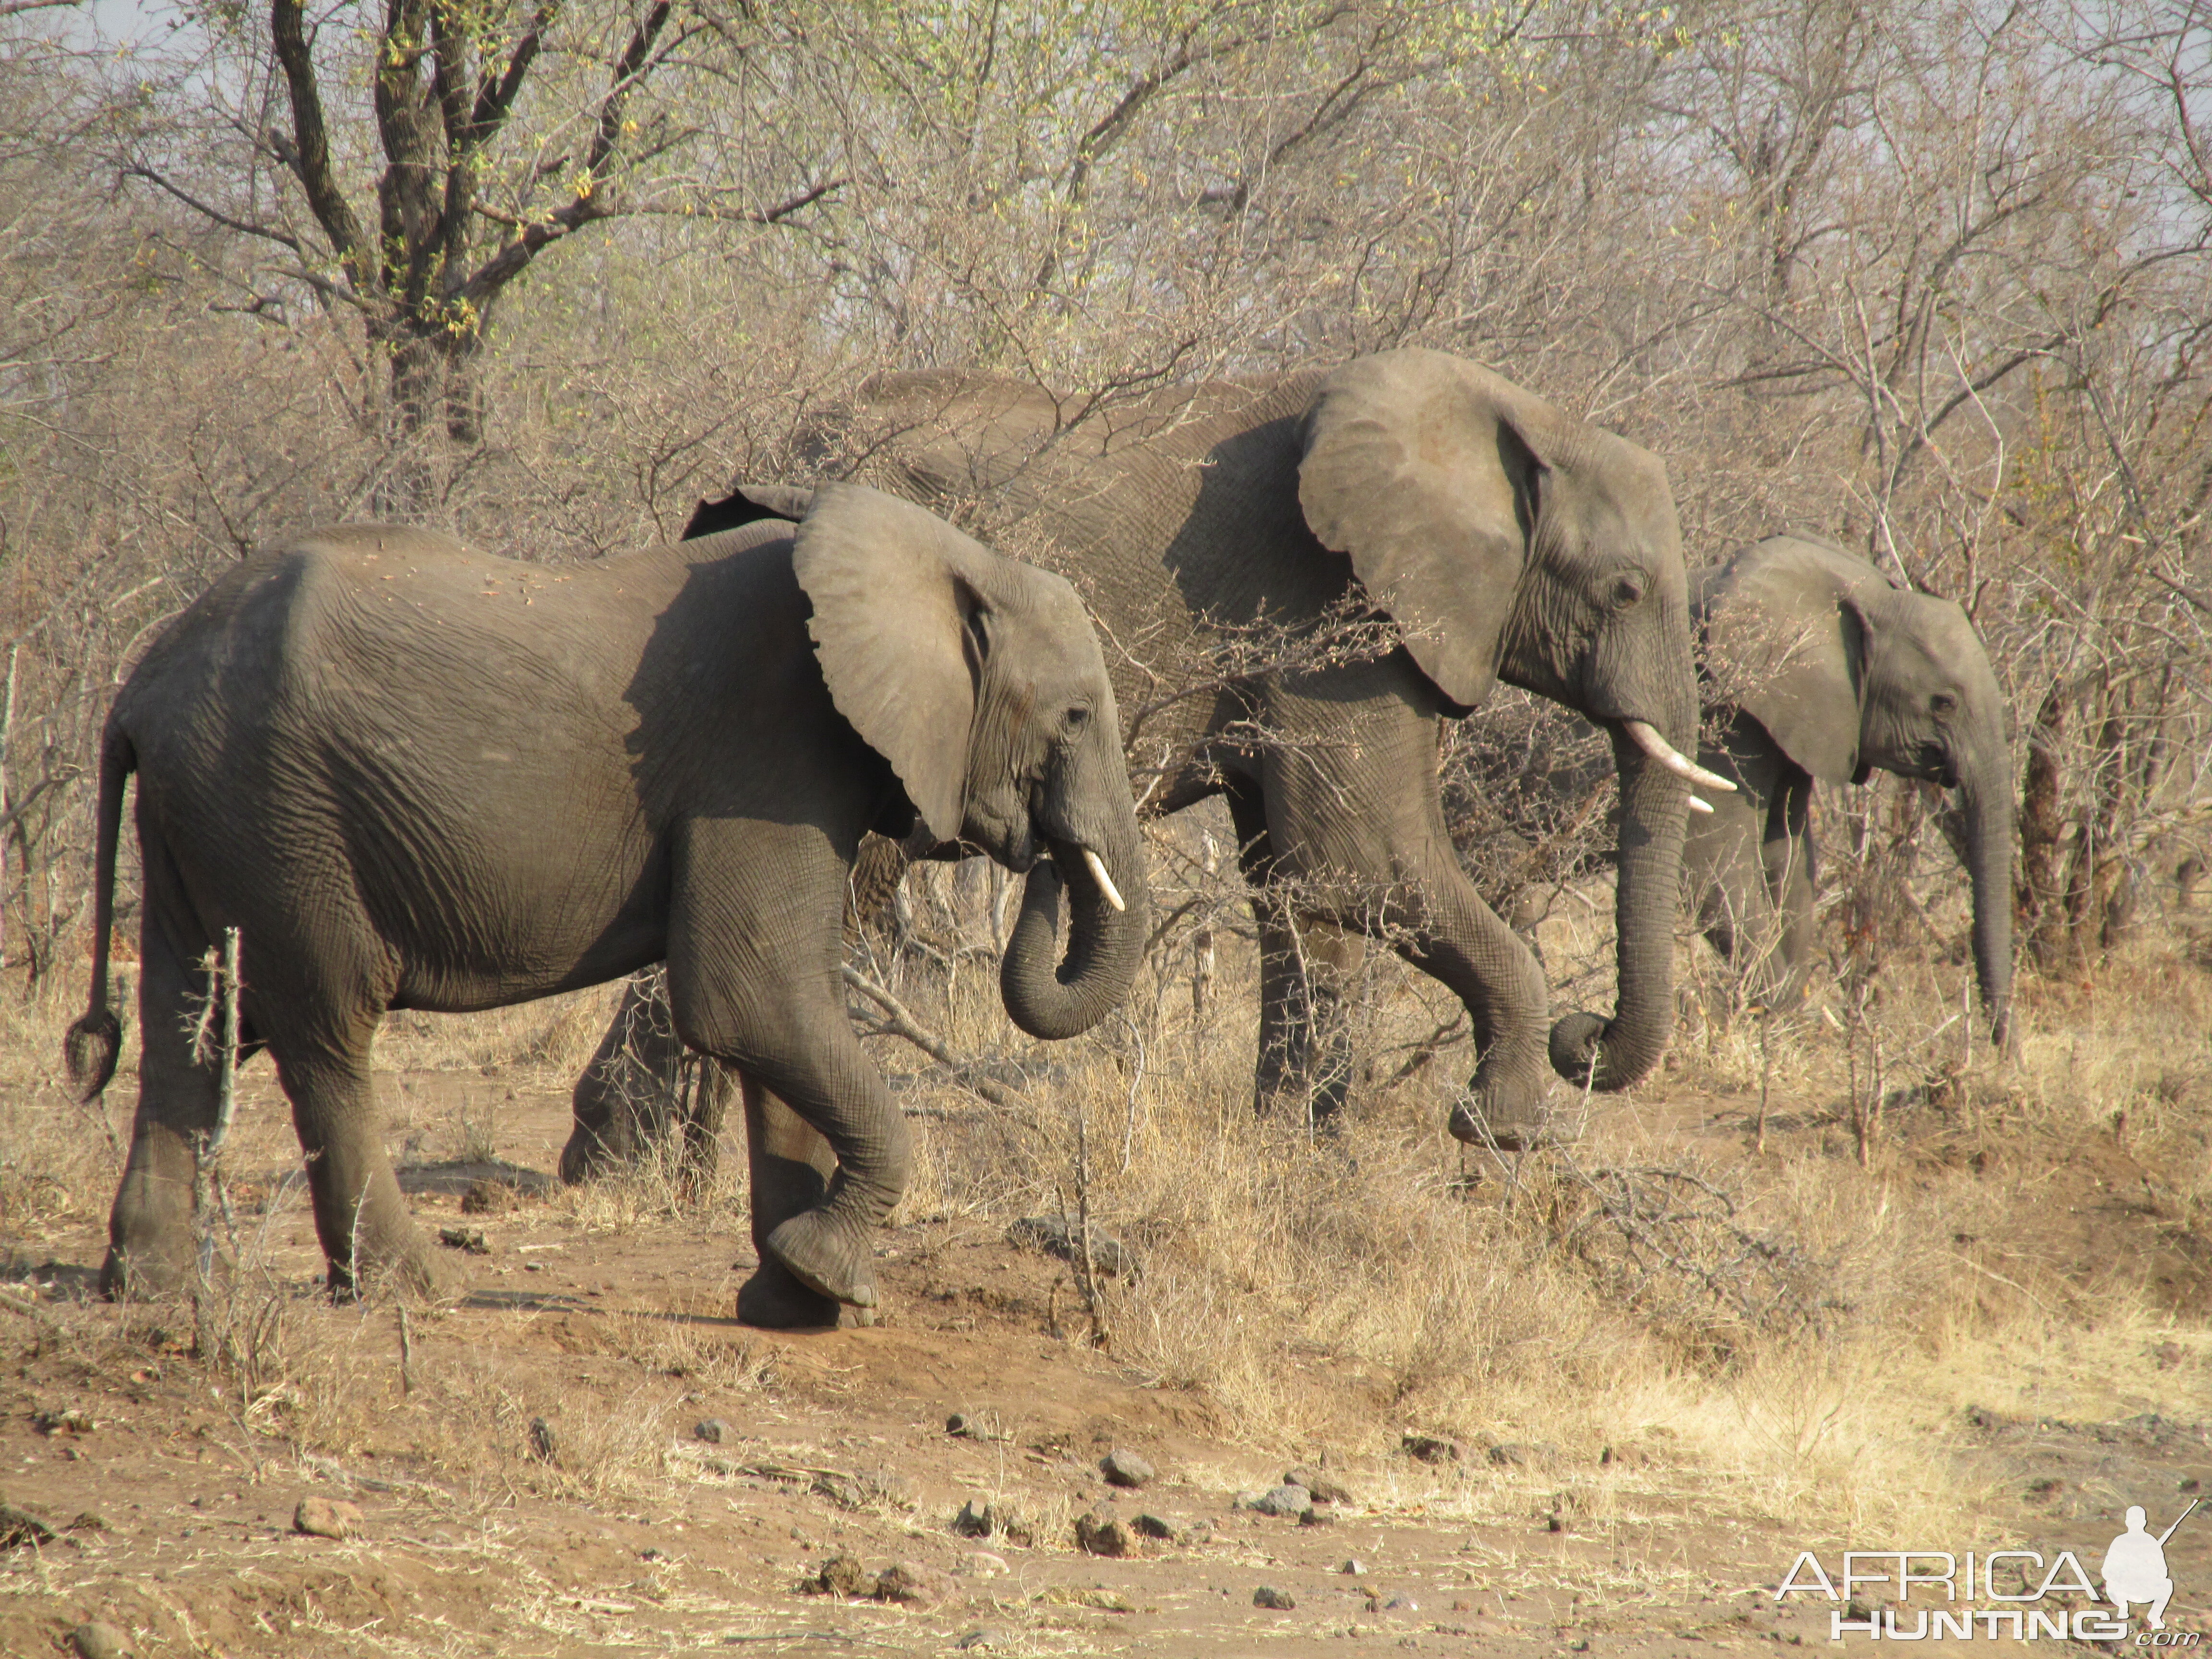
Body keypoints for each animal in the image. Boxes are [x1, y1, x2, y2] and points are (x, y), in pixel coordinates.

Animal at [60, 480, 1150, 1327]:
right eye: (1075, 716)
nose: (1044, 851)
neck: (938, 553)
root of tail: (138, 691)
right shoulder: (768, 751)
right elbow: (750, 998)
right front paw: (832, 1279)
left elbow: (786, 1018)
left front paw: (796, 1305)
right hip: (279, 813)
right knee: (325, 1027)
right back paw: (412, 1291)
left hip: (206, 812)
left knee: (190, 1021)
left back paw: (147, 1290)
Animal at [562, 347, 1716, 1168]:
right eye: (1623, 590)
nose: (1585, 1035)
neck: (1495, 411)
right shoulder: (1335, 622)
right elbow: (1361, 866)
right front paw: (1502, 1131)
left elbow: (1299, 889)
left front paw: (1298, 1164)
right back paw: (634, 1177)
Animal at [1681, 540, 2017, 1044]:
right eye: (1943, 703)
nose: (2004, 1053)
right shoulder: (1721, 709)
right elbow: (1713, 861)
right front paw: (1783, 1025)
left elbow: (1790, 860)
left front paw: (1783, 1028)